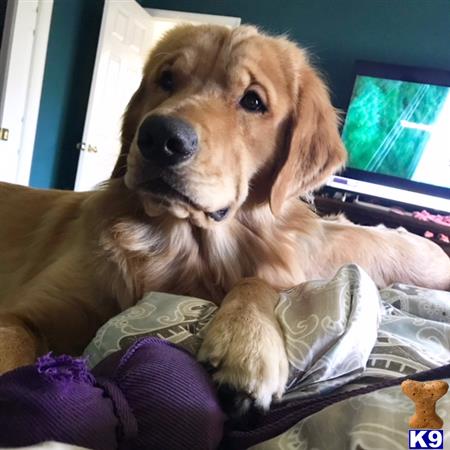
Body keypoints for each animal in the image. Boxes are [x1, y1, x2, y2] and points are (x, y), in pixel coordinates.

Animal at [0, 23, 450, 412]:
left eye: (253, 101)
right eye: (166, 79)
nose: (160, 138)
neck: (180, 242)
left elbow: (255, 282)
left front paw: (248, 341)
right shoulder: (23, 315)